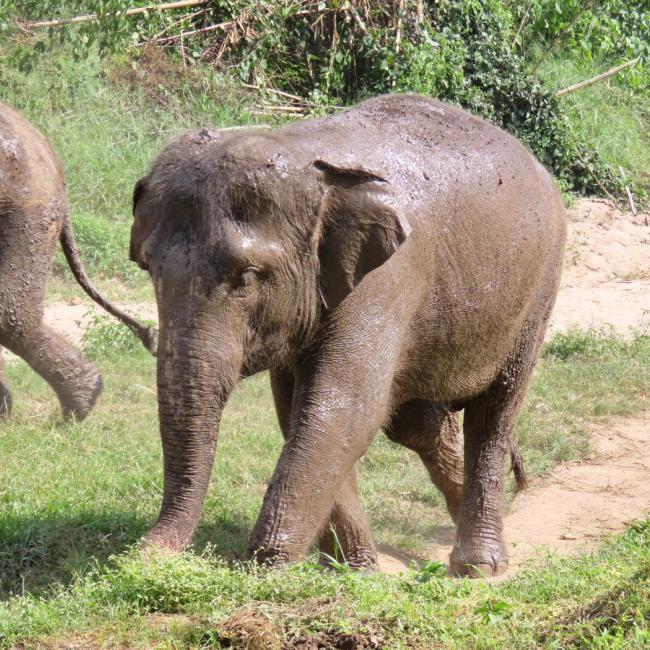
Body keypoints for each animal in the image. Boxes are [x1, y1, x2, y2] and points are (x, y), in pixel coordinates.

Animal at [132, 93, 560, 576]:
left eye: (247, 276)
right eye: (148, 268)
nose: (139, 556)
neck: (304, 153)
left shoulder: (387, 278)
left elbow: (342, 405)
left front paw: (265, 565)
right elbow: (300, 409)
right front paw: (357, 569)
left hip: (538, 288)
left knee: (495, 411)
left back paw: (480, 565)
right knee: (421, 425)